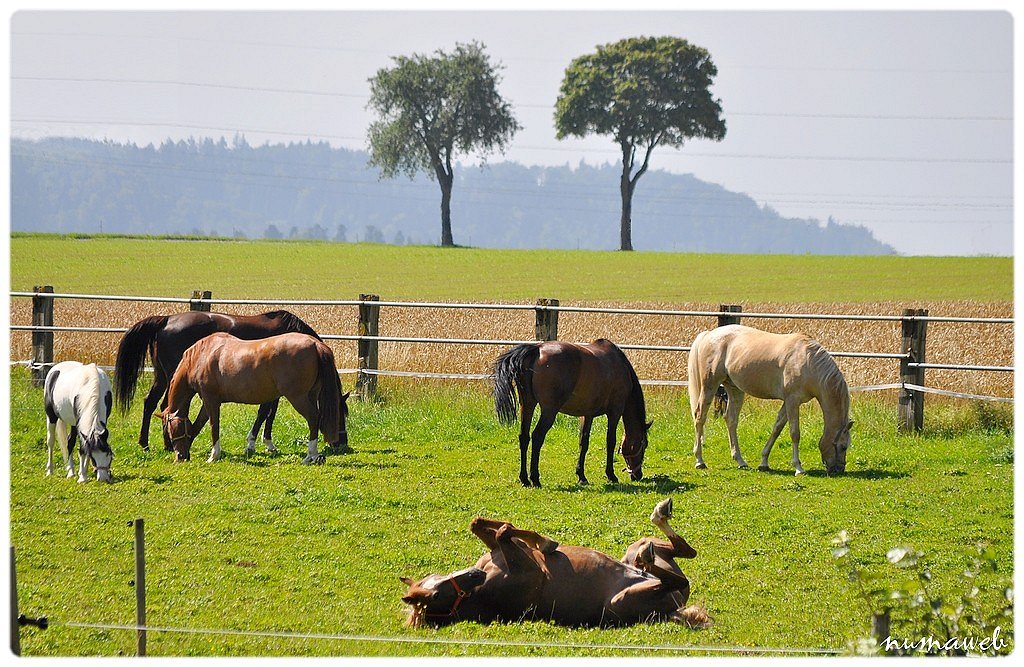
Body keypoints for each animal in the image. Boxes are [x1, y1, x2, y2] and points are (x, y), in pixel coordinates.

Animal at [112, 307, 321, 454]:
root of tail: (166, 320)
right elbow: (266, 413)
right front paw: (259, 444)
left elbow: (269, 413)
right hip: (174, 377)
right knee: (166, 406)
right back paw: (167, 444)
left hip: (162, 376)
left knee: (151, 403)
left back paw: (147, 444)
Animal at [158, 331, 348, 465]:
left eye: (171, 430)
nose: (180, 456)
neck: (203, 355)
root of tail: (315, 344)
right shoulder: (208, 402)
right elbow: (197, 426)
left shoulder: (210, 399)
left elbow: (213, 426)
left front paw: (214, 456)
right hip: (311, 395)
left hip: (298, 397)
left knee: (313, 418)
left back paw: (310, 456)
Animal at [399, 497, 712, 627]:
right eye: (435, 596)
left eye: (434, 581)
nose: (475, 574)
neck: (481, 593)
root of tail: (677, 609)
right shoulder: (529, 568)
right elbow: (504, 531)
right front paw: (546, 541)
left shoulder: (503, 551)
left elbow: (483, 525)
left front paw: (544, 541)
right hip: (622, 601)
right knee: (679, 576)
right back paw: (647, 556)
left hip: (635, 551)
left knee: (683, 551)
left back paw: (654, 528)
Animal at [491, 342, 651, 487]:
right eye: (644, 445)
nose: (638, 475)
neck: (619, 365)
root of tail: (537, 349)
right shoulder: (615, 412)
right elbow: (610, 441)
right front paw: (611, 475)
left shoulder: (587, 415)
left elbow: (583, 443)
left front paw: (581, 476)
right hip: (549, 411)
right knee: (537, 437)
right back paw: (535, 479)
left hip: (527, 405)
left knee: (524, 437)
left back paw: (524, 479)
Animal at [688, 323, 856, 475]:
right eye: (843, 446)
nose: (839, 470)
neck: (808, 361)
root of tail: (709, 334)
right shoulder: (792, 401)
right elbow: (795, 433)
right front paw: (798, 468)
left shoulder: (788, 402)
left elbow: (777, 429)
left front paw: (764, 463)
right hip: (710, 385)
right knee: (700, 417)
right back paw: (700, 461)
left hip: (734, 389)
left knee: (731, 419)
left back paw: (740, 461)